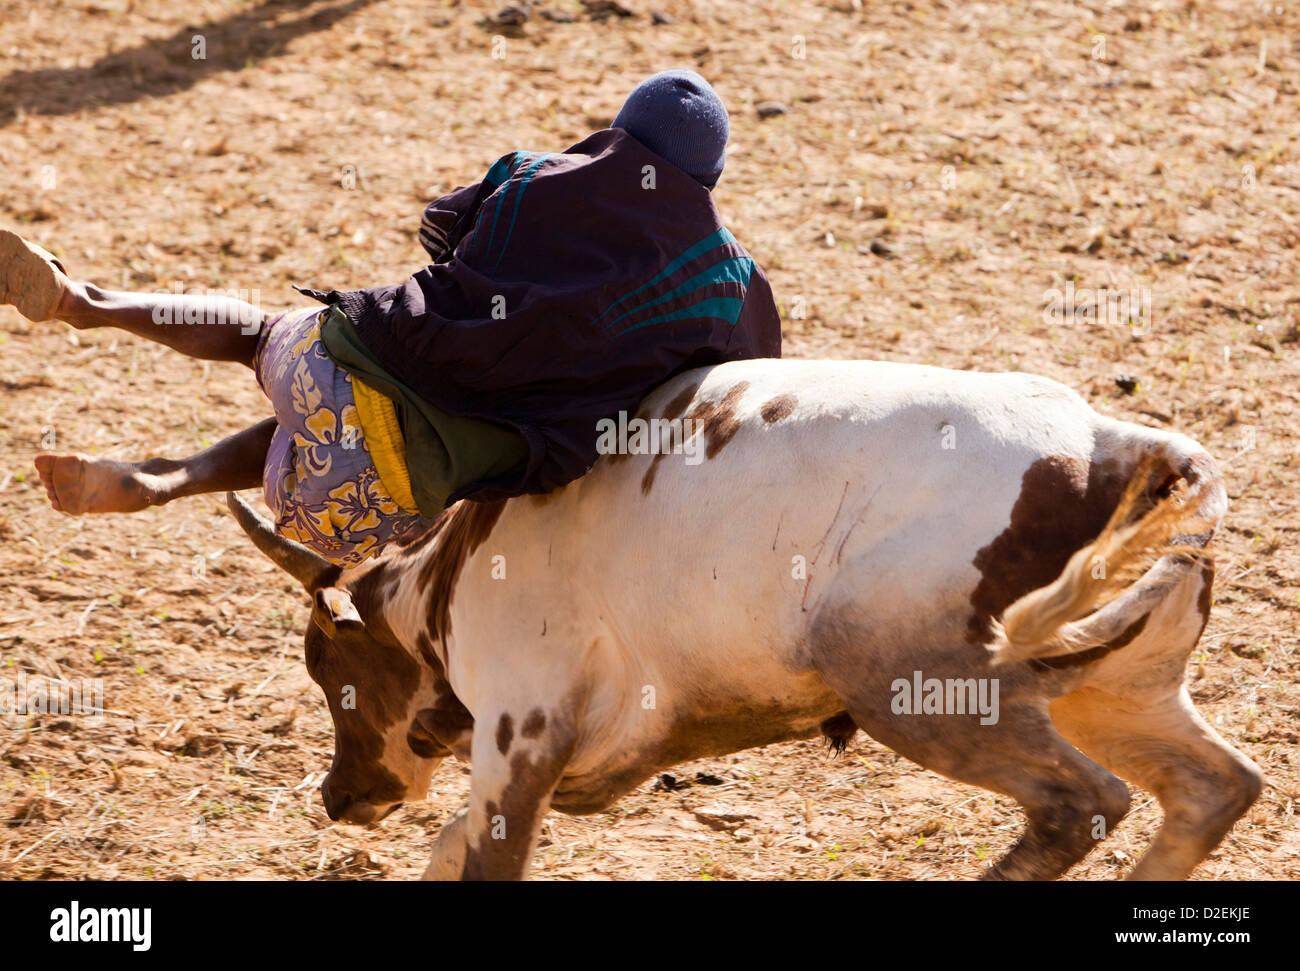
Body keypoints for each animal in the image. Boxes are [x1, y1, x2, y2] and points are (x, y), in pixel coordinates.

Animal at [223, 356, 1258, 878]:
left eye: (329, 669)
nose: (337, 796)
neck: (454, 567)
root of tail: (1119, 447)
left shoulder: (523, 736)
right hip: (1118, 689)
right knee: (1215, 788)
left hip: (911, 681)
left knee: (1082, 803)